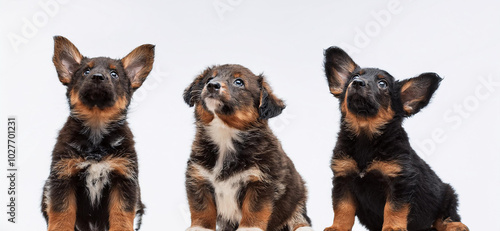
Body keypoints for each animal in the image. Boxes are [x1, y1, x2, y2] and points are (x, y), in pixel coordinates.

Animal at [41, 36, 154, 231]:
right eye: (86, 71)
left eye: (114, 74)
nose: (97, 77)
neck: (96, 125)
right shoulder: (63, 176)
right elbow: (62, 212)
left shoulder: (124, 177)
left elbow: (122, 213)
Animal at [182, 64, 314, 231]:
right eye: (209, 78)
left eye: (239, 82)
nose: (212, 85)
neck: (225, 134)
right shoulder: (198, 179)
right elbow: (202, 208)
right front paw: (200, 228)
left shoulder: (261, 181)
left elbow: (254, 208)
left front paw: (249, 228)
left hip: (299, 197)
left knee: (300, 218)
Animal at [322, 47, 466, 231]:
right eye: (354, 77)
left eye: (382, 84)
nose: (357, 83)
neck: (365, 137)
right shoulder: (343, 178)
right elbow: (342, 208)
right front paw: (338, 227)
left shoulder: (399, 181)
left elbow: (393, 208)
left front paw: (392, 227)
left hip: (448, 195)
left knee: (444, 218)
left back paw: (455, 225)